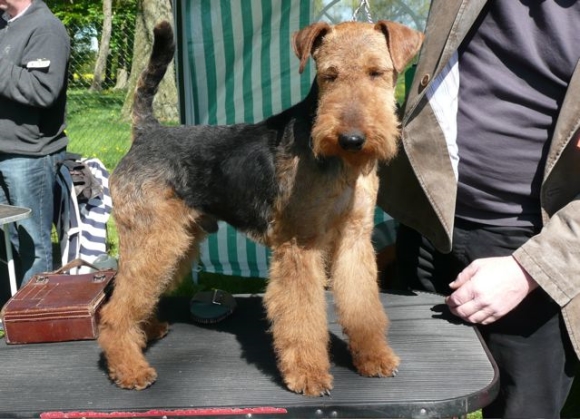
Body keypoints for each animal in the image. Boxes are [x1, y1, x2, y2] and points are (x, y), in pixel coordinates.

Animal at [98, 18, 422, 396]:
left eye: (377, 72)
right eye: (330, 75)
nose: (351, 140)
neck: (342, 166)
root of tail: (146, 133)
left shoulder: (355, 239)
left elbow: (363, 306)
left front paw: (374, 358)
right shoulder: (300, 245)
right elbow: (301, 315)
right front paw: (308, 373)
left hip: (177, 242)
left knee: (139, 294)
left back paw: (147, 332)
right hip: (154, 239)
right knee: (114, 308)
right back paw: (130, 367)